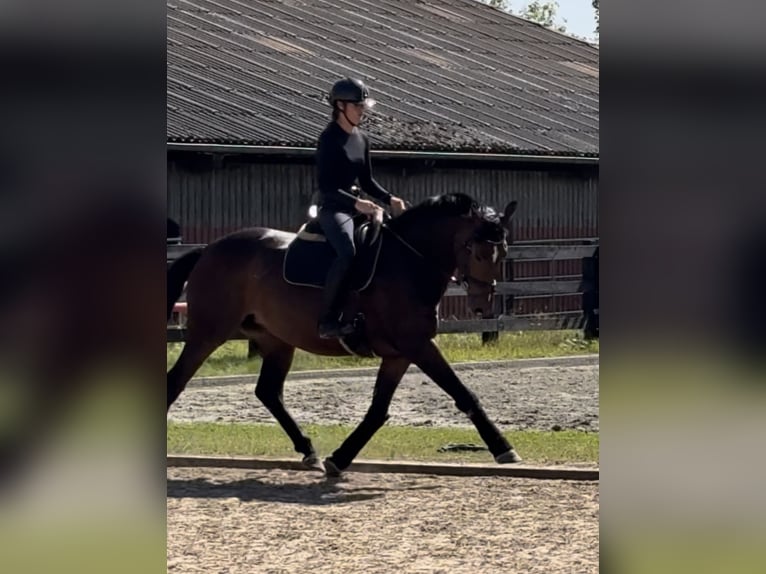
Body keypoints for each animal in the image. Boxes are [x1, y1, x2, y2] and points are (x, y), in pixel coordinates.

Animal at [166, 192, 520, 475]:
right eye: (475, 252)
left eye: (502, 253)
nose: (481, 306)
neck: (407, 262)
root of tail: (208, 249)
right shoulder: (418, 345)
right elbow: (463, 393)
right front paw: (503, 448)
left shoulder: (399, 354)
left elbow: (377, 411)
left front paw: (340, 458)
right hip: (208, 333)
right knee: (176, 381)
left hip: (276, 340)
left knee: (269, 392)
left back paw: (308, 451)